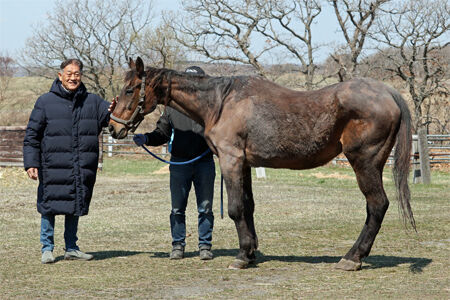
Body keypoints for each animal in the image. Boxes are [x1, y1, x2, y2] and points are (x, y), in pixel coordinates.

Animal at [108, 57, 414, 270]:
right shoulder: (244, 164)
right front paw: (252, 251)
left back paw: (352, 257)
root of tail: (388, 93)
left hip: (364, 163)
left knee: (377, 205)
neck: (220, 103)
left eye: (130, 89)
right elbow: (248, 207)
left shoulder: (231, 160)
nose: (113, 127)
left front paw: (242, 256)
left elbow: (235, 209)